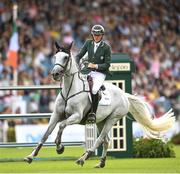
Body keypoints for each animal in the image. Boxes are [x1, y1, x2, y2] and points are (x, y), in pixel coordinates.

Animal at [23, 41, 174, 167]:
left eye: (65, 57)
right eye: (55, 57)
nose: (55, 74)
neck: (69, 90)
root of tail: (124, 94)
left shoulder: (76, 116)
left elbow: (61, 126)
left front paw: (59, 147)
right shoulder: (56, 115)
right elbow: (46, 134)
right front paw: (30, 156)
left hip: (112, 119)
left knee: (100, 139)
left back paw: (83, 158)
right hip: (101, 121)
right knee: (106, 140)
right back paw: (100, 163)